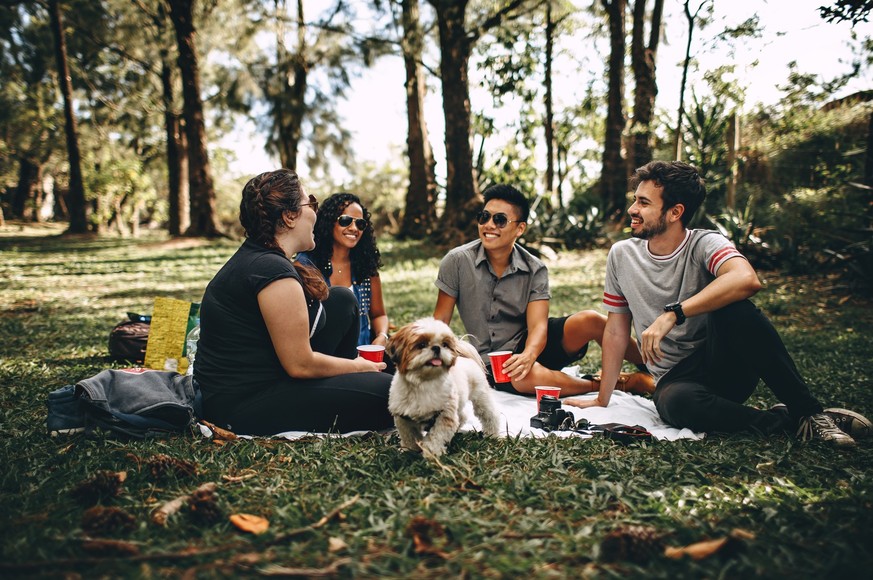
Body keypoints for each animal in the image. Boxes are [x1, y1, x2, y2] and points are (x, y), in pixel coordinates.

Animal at [386, 318, 500, 458]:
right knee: (462, 416)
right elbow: (409, 436)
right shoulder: (403, 417)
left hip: (480, 397)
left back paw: (492, 434)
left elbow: (436, 436)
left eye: (444, 344)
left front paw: (431, 453)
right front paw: (409, 450)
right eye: (421, 344)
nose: (436, 348)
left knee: (490, 415)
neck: (424, 383)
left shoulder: (445, 414)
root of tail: (465, 357)